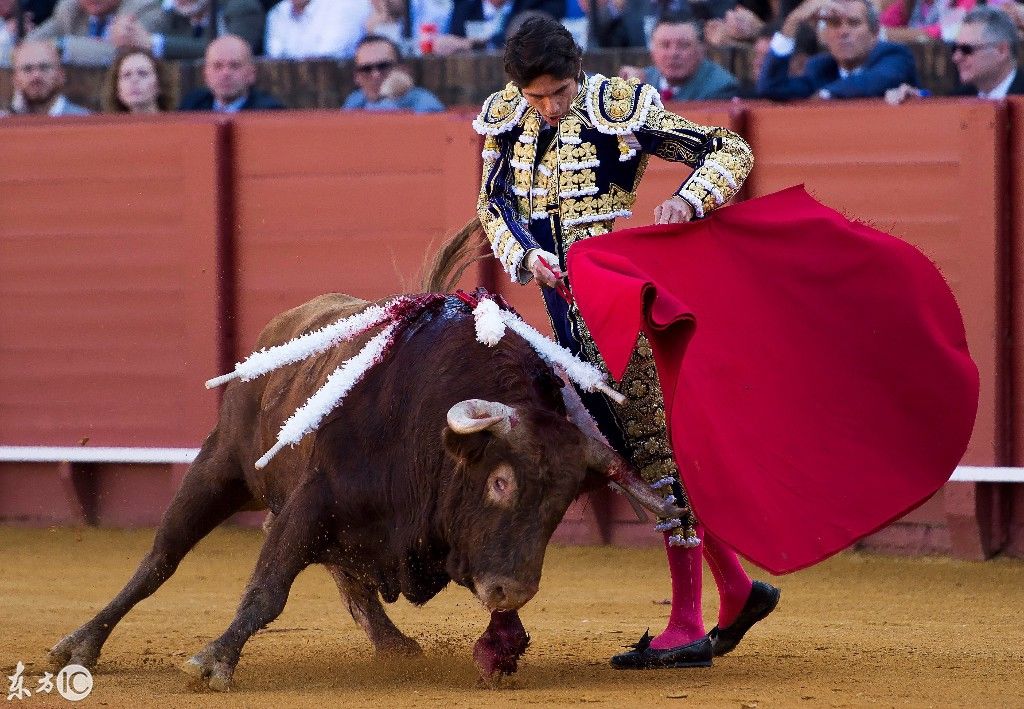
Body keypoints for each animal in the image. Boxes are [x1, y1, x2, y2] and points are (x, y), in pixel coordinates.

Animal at [48, 244, 679, 692]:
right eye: (500, 482)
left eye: (559, 506)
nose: (512, 588)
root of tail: (285, 322)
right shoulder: (310, 500)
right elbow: (268, 589)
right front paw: (212, 663)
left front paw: (498, 647)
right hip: (220, 465)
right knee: (160, 559)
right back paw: (78, 646)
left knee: (345, 571)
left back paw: (394, 646)